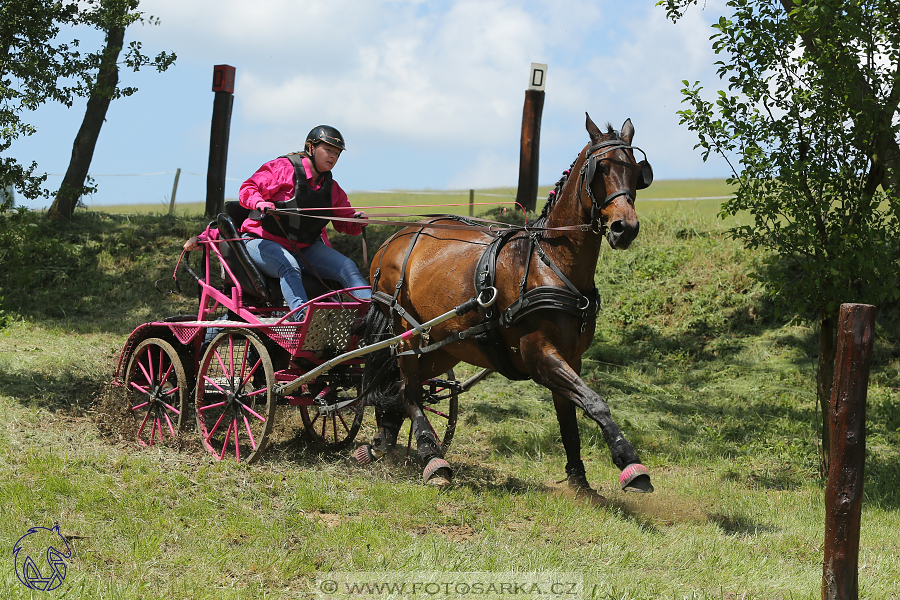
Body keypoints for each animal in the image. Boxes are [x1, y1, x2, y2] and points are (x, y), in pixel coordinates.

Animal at [356, 115, 652, 494]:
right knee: (409, 390)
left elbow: (569, 417)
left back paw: (386, 438)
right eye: (599, 169)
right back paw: (431, 455)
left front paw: (579, 480)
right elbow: (595, 402)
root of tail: (394, 238)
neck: (549, 262)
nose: (624, 227)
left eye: (637, 171)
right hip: (406, 331)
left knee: (402, 386)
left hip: (444, 345)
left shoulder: (571, 358)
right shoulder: (541, 357)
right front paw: (629, 461)